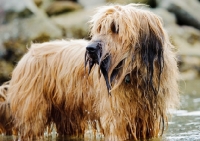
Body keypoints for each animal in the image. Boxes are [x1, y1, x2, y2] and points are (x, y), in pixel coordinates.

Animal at [2, 3, 180, 141]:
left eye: (116, 28)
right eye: (99, 28)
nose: (90, 49)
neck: (132, 74)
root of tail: (28, 54)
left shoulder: (148, 121)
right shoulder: (117, 118)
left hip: (68, 115)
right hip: (33, 112)